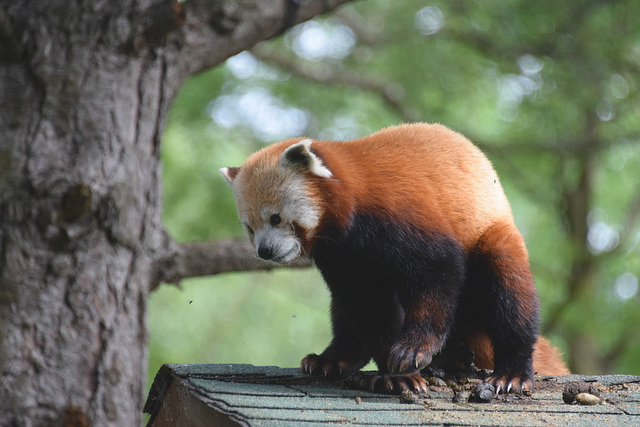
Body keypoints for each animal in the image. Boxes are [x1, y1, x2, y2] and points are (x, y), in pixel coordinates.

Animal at [221, 122, 568, 396]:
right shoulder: (342, 255)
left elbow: (438, 275)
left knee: (508, 290)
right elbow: (366, 304)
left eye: (276, 218)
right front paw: (397, 375)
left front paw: (412, 352)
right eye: (250, 228)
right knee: (343, 311)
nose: (264, 251)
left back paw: (511, 371)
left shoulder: (401, 213)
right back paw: (332, 358)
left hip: (491, 239)